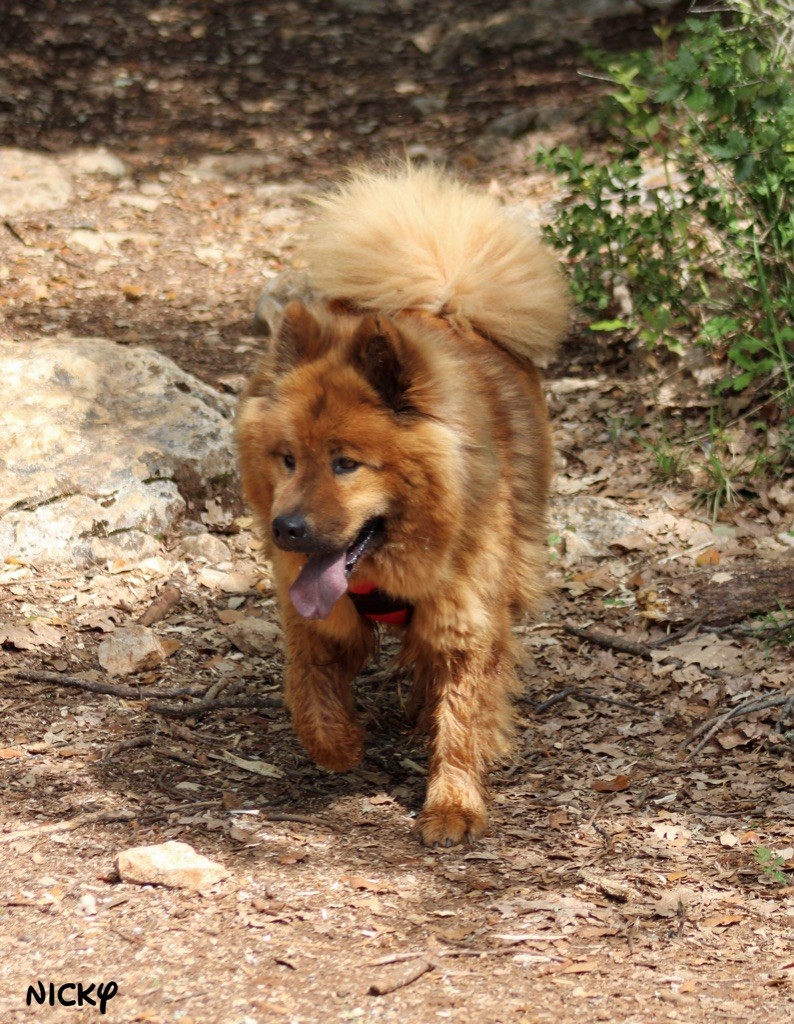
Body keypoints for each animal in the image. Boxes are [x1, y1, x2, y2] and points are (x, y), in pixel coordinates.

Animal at [237, 163, 569, 843]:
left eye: (346, 463)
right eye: (287, 459)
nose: (287, 528)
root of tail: (445, 304)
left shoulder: (465, 619)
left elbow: (463, 718)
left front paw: (452, 806)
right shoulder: (314, 620)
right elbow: (308, 694)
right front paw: (341, 745)